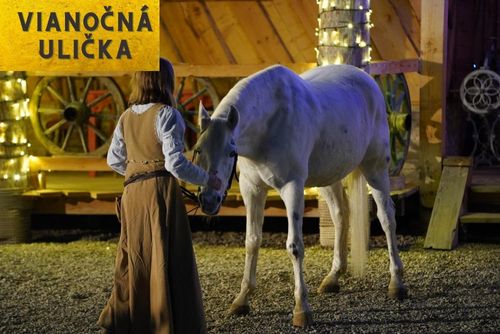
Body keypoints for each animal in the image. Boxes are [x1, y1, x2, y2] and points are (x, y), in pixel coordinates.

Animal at [193, 64, 408, 328]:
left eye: (231, 151)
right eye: (198, 149)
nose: (208, 200)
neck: (269, 123)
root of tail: (367, 78)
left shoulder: (292, 187)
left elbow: (294, 246)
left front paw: (301, 309)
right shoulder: (251, 189)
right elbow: (252, 241)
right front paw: (241, 300)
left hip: (375, 168)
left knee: (387, 217)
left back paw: (396, 283)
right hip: (328, 177)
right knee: (340, 216)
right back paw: (333, 277)